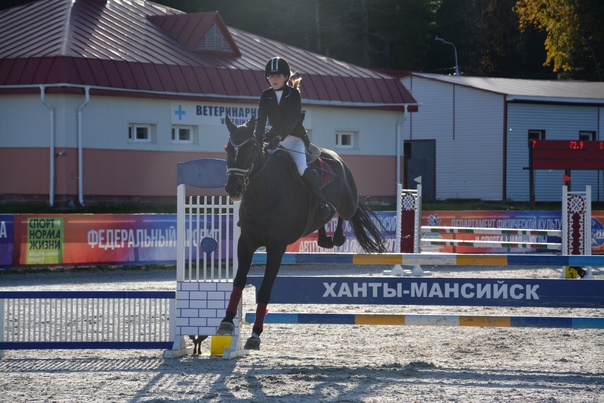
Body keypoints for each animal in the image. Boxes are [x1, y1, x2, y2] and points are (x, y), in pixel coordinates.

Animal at [217, 117, 386, 350]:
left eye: (249, 149)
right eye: (228, 148)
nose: (233, 188)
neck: (263, 191)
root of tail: (336, 157)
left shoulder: (276, 247)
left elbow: (264, 290)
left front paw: (255, 335)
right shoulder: (246, 242)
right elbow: (239, 282)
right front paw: (225, 322)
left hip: (348, 203)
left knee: (344, 213)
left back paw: (337, 237)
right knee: (324, 215)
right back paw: (324, 238)